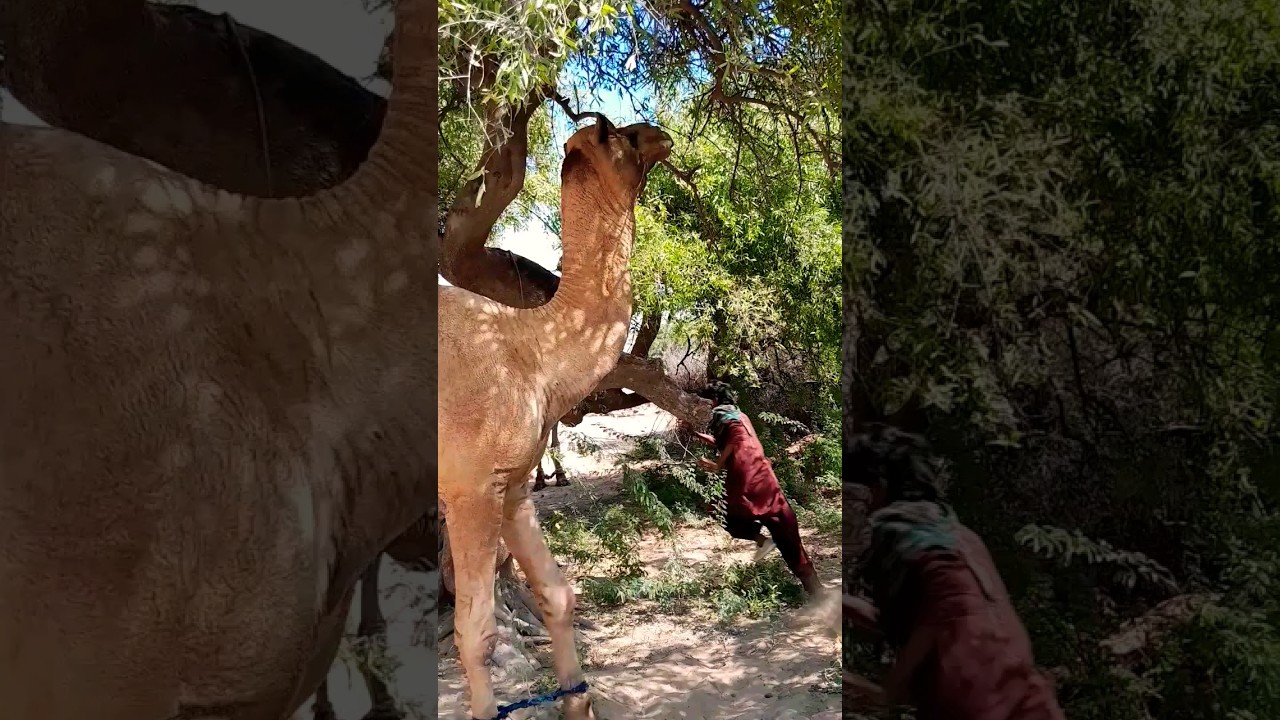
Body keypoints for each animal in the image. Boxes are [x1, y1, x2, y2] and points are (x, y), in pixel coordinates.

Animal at [439, 115, 672, 719]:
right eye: (623, 137)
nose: (660, 133)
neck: (531, 349)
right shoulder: (471, 488)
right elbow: (476, 630)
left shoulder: (513, 484)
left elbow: (558, 593)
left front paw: (577, 702)